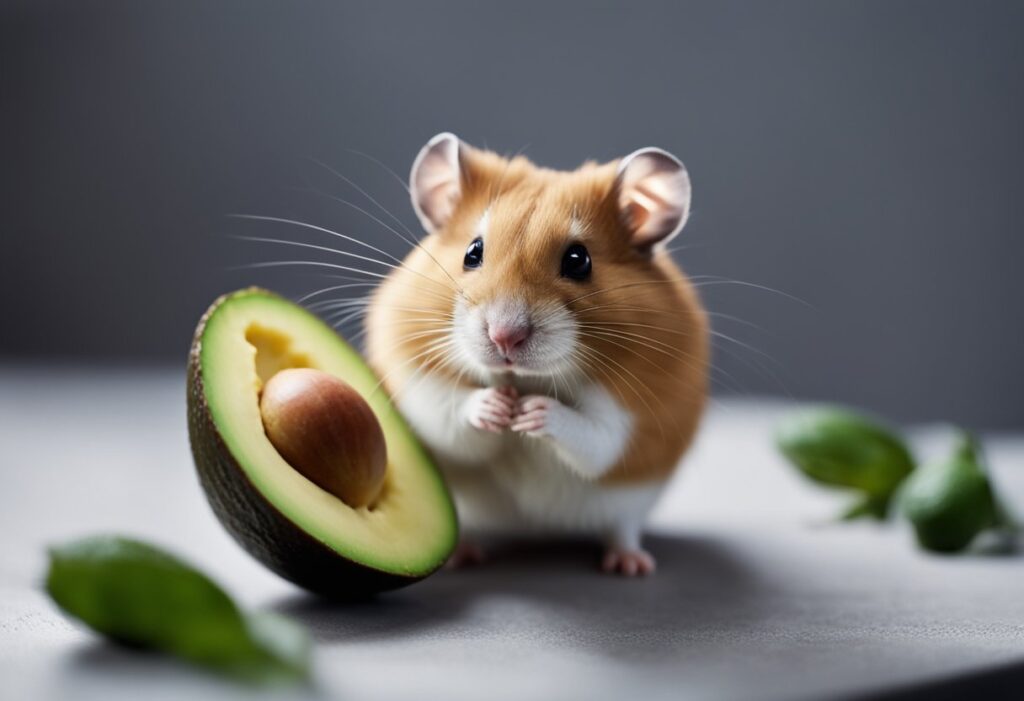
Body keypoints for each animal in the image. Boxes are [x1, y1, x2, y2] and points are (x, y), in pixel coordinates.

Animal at [366, 133, 708, 576]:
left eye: (579, 260)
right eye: (472, 252)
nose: (504, 337)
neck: (524, 378)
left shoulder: (628, 418)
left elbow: (592, 434)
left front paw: (530, 412)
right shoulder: (420, 385)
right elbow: (450, 414)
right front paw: (499, 408)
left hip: (630, 505)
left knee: (622, 528)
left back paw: (630, 565)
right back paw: (462, 556)